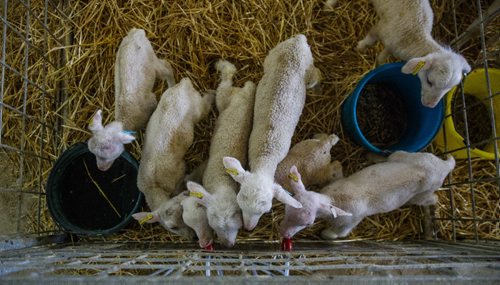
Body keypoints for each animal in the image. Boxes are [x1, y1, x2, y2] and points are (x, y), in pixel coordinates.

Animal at [88, 28, 176, 171]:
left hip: (151, 60)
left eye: (108, 149)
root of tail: (135, 32)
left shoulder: (151, 103)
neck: (127, 117)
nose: (101, 169)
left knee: (167, 67)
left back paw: (172, 85)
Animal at [131, 77, 213, 237]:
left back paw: (212, 94)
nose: (192, 237)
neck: (154, 187)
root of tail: (183, 84)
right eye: (172, 227)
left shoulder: (180, 172)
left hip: (197, 108)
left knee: (205, 105)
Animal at [185, 59, 258, 246]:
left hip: (224, 97)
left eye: (236, 226)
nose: (228, 245)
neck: (221, 185)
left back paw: (222, 66)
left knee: (225, 82)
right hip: (228, 97)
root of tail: (244, 93)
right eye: (214, 227)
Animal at [223, 33, 320, 229]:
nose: (248, 228)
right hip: (274, 54)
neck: (265, 153)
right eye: (239, 202)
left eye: (265, 211)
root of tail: (299, 39)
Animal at [280, 150, 456, 239]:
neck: (336, 199)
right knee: (392, 155)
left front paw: (325, 234)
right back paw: (372, 156)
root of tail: (444, 166)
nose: (284, 234)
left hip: (424, 193)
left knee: (433, 199)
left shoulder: (352, 221)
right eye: (286, 209)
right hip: (412, 155)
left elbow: (339, 234)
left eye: (308, 224)